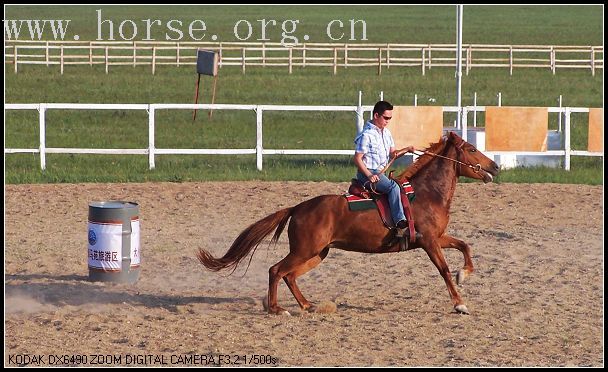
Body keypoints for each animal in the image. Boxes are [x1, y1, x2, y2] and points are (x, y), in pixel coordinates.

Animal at [197, 132, 496, 316]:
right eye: (471, 149)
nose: (494, 167)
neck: (426, 193)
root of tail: (298, 208)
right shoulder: (429, 241)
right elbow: (444, 270)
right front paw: (460, 304)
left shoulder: (437, 237)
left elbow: (464, 246)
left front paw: (464, 273)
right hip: (305, 250)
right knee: (276, 270)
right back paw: (277, 309)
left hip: (317, 253)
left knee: (289, 275)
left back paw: (307, 305)